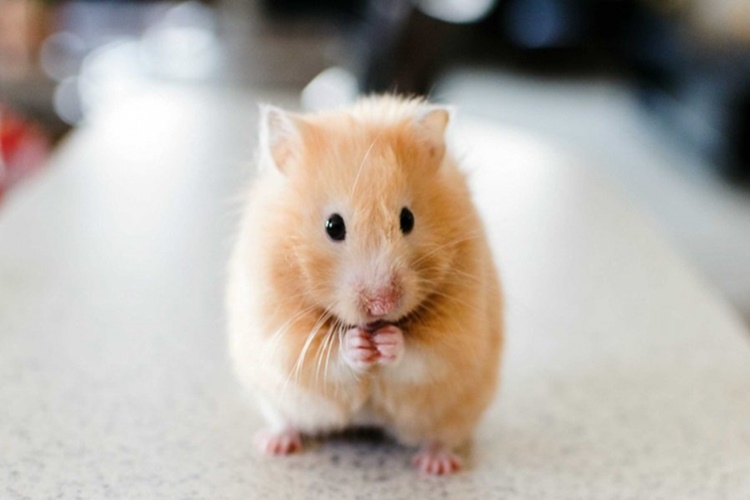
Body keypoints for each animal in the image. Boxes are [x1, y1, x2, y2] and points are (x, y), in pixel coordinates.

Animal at [226, 95, 503, 475]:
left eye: (407, 219)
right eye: (333, 225)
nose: (381, 305)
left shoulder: (458, 335)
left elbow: (422, 354)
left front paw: (387, 341)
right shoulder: (279, 330)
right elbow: (323, 357)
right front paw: (358, 344)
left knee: (442, 436)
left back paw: (437, 464)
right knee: (287, 421)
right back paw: (274, 444)